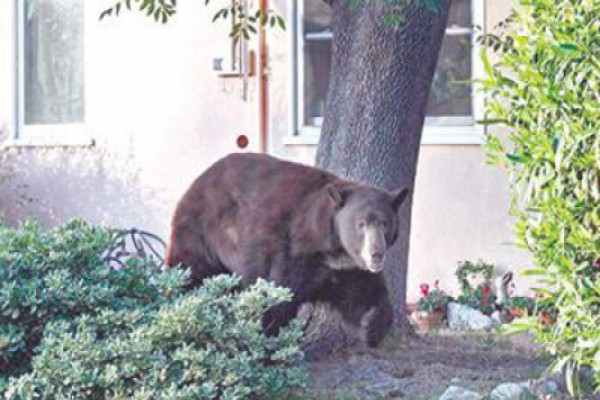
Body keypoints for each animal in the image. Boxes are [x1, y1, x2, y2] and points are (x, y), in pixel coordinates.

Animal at [165, 153, 408, 346]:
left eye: (384, 223)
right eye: (361, 224)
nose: (376, 254)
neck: (331, 248)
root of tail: (197, 180)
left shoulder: (347, 270)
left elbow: (363, 294)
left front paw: (371, 325)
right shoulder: (291, 250)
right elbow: (277, 295)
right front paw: (268, 341)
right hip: (204, 230)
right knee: (191, 269)